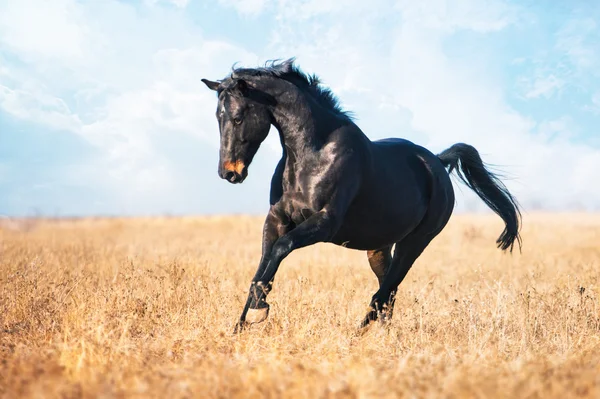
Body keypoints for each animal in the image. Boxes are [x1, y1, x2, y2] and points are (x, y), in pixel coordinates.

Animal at [202, 58, 520, 334]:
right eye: (218, 118)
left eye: (238, 118)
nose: (229, 172)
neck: (312, 155)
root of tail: (438, 163)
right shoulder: (276, 220)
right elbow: (262, 268)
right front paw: (242, 325)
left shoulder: (324, 223)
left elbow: (281, 248)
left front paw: (258, 312)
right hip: (379, 249)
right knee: (388, 292)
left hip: (414, 243)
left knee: (386, 291)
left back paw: (357, 334)